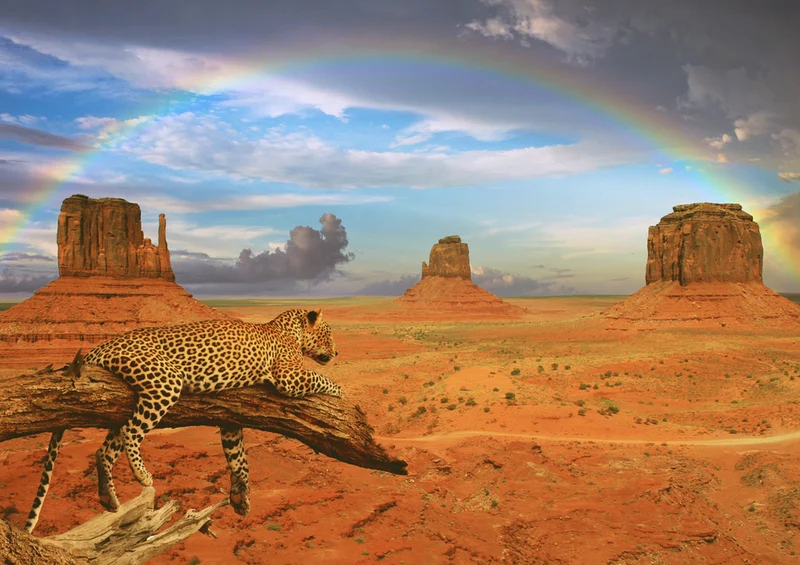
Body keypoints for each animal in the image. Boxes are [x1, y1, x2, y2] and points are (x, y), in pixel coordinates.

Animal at [24, 308, 341, 533]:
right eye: (328, 334)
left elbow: (239, 459)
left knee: (105, 450)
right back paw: (142, 475)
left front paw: (241, 498)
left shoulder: (231, 420)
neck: (289, 330)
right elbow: (320, 378)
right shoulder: (290, 377)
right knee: (131, 431)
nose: (337, 352)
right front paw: (340, 390)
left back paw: (108, 499)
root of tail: (101, 346)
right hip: (165, 381)